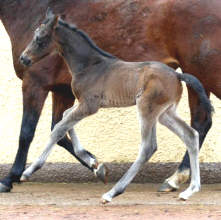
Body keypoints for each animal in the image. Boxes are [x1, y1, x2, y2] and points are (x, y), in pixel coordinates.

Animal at [0, 0, 218, 192]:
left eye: (39, 38)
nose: (24, 58)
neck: (91, 64)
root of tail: (177, 75)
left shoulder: (37, 85)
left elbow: (31, 132)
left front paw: (12, 177)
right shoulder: (64, 92)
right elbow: (60, 127)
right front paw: (96, 165)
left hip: (201, 76)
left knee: (174, 134)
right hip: (175, 101)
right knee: (196, 128)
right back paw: (176, 180)